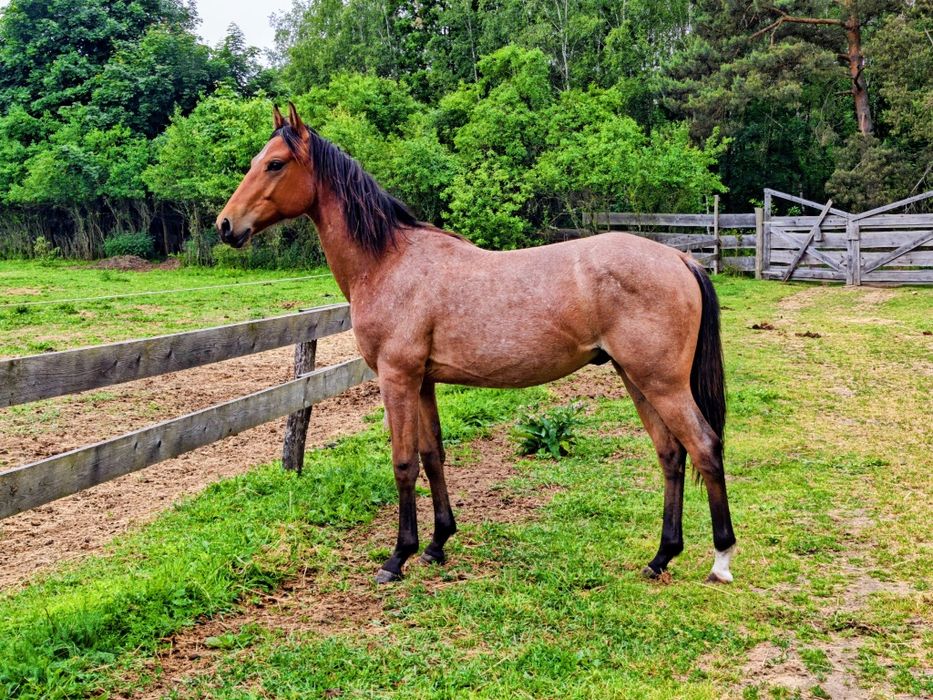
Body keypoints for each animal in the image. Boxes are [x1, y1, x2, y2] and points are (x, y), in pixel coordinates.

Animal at [217, 103, 737, 585]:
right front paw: (437, 544)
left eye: (276, 164)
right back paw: (661, 557)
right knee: (671, 454)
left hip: (662, 382)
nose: (226, 225)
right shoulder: (423, 381)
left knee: (705, 447)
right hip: (636, 378)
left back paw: (721, 559)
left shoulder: (397, 378)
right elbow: (433, 457)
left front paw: (398, 557)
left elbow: (403, 463)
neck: (388, 262)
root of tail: (680, 259)